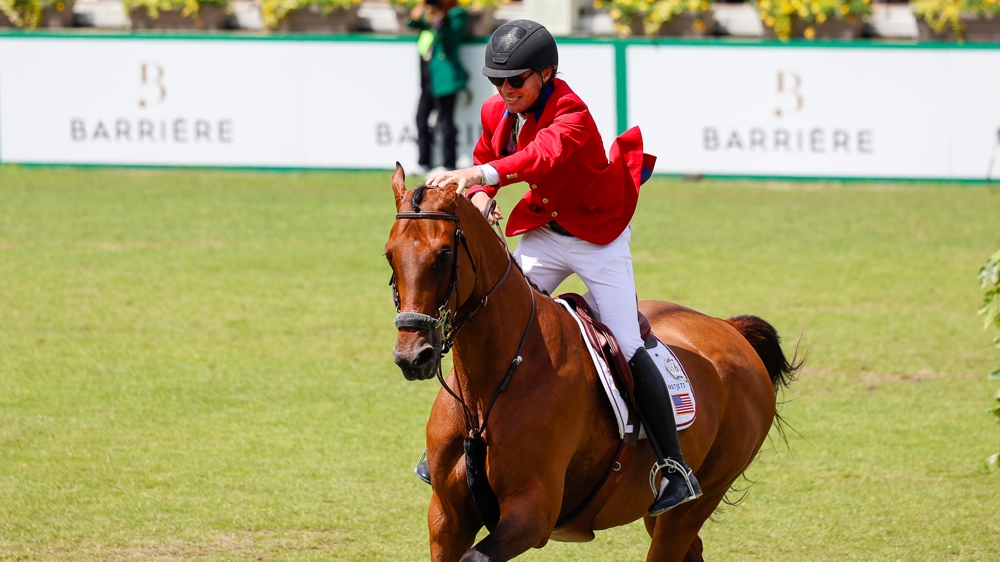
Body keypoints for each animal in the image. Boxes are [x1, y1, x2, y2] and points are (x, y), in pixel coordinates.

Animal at [382, 163, 796, 560]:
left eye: (444, 254)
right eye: (389, 254)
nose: (413, 355)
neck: (493, 381)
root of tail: (730, 330)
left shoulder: (532, 513)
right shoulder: (447, 517)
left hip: (696, 501)